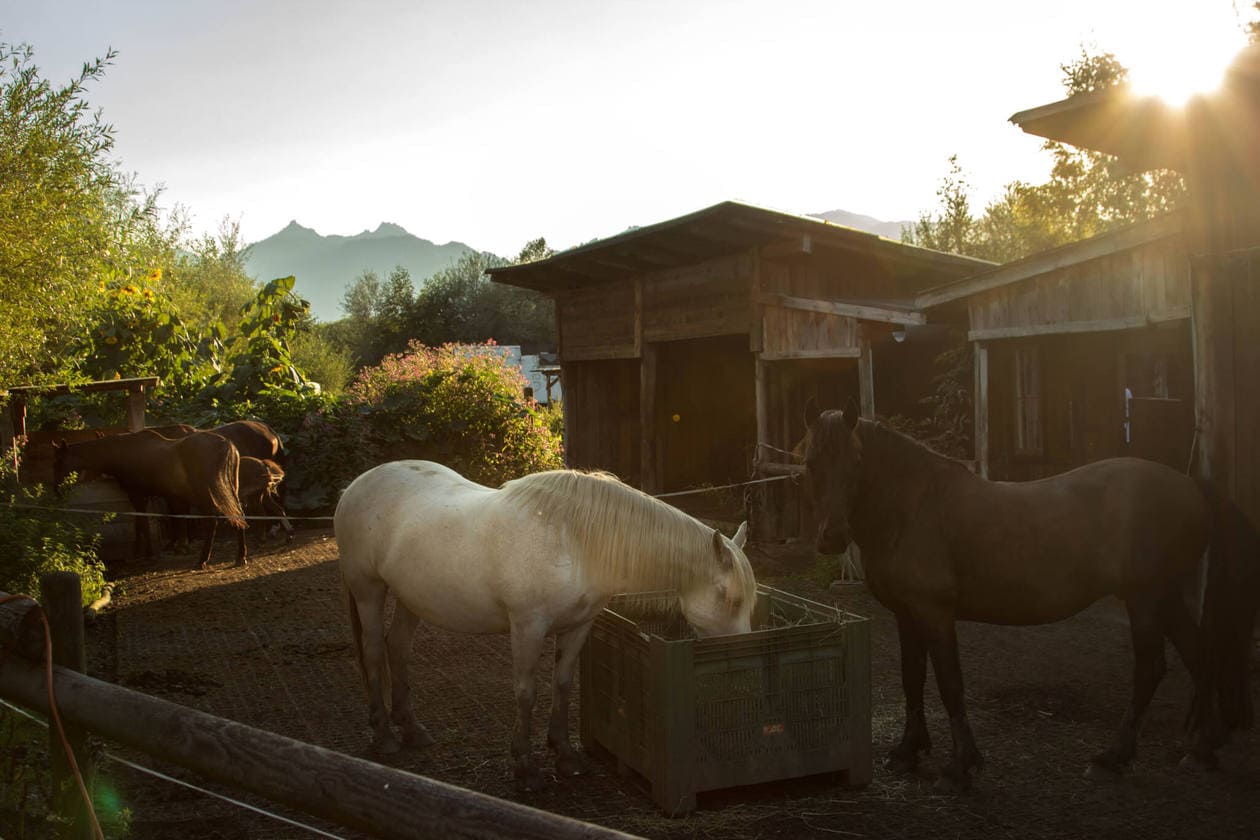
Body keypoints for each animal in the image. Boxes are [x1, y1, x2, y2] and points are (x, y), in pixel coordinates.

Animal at [53, 430, 245, 569]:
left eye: (59, 461)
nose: (56, 490)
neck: (122, 453)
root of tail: (226, 444)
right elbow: (140, 523)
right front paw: (139, 551)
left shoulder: (137, 495)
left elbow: (143, 523)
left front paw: (148, 554)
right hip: (230, 490)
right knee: (239, 515)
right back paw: (240, 556)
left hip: (206, 493)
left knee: (214, 520)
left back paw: (202, 560)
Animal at [332, 460, 756, 790]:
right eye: (729, 598)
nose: (741, 661)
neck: (575, 540)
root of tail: (356, 485)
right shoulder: (528, 627)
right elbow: (526, 692)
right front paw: (526, 768)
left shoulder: (578, 626)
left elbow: (563, 685)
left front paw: (566, 756)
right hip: (369, 592)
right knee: (374, 651)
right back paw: (384, 735)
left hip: (412, 598)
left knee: (398, 647)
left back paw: (412, 729)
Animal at [801, 402, 1254, 790]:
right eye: (810, 463)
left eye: (857, 462)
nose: (831, 537)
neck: (912, 509)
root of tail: (1190, 483)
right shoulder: (906, 614)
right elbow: (912, 679)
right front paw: (907, 753)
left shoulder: (934, 612)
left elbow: (949, 682)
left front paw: (960, 767)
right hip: (1166, 598)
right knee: (1199, 655)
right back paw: (1202, 750)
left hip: (1144, 599)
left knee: (1151, 669)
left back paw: (1112, 759)